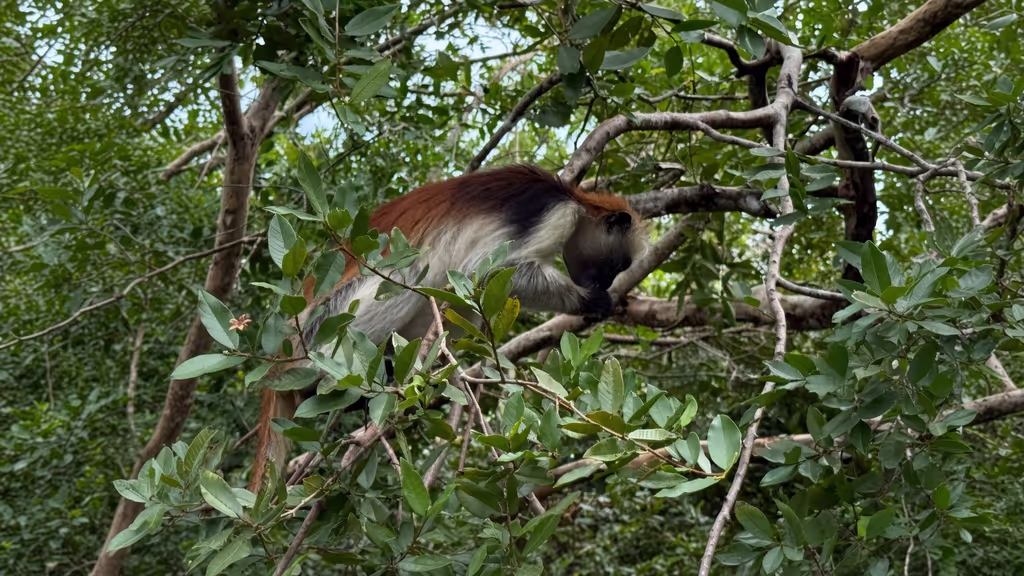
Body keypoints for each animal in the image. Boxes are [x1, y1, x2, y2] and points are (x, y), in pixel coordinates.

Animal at [248, 164, 647, 489]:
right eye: (615, 265)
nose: (605, 282)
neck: (576, 200)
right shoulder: (556, 213)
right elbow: (488, 271)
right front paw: (590, 301)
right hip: (326, 319)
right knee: (405, 278)